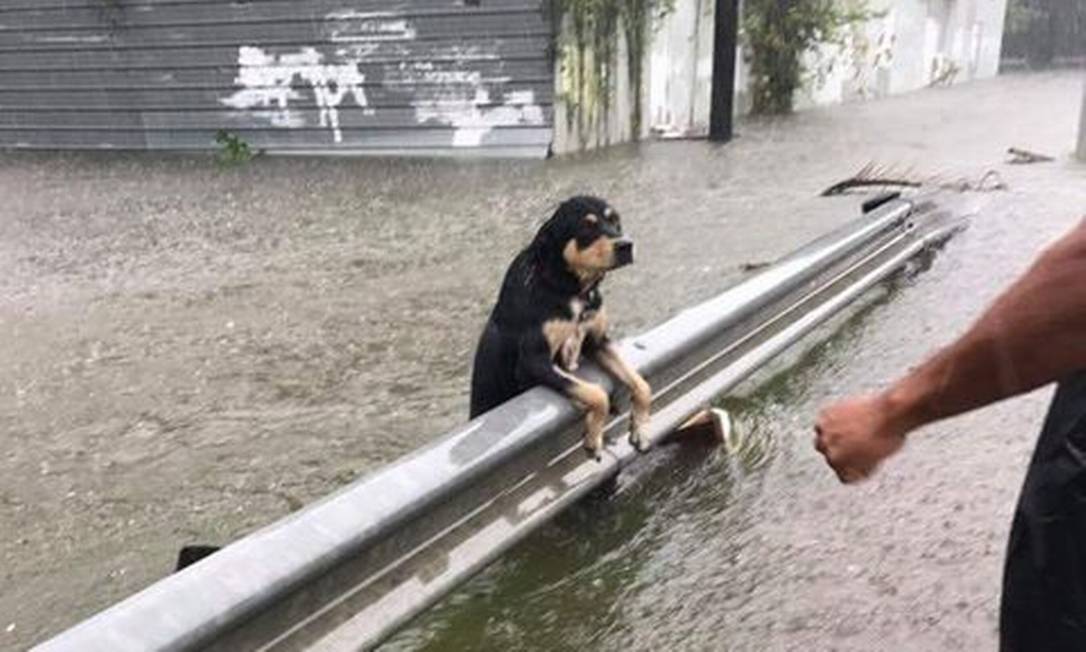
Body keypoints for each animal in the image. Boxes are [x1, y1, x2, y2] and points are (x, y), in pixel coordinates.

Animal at [469, 195, 651, 456]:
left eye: (615, 220)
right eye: (587, 227)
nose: (626, 245)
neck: (569, 287)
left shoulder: (598, 342)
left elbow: (641, 384)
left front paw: (642, 427)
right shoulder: (533, 362)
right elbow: (596, 393)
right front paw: (593, 436)